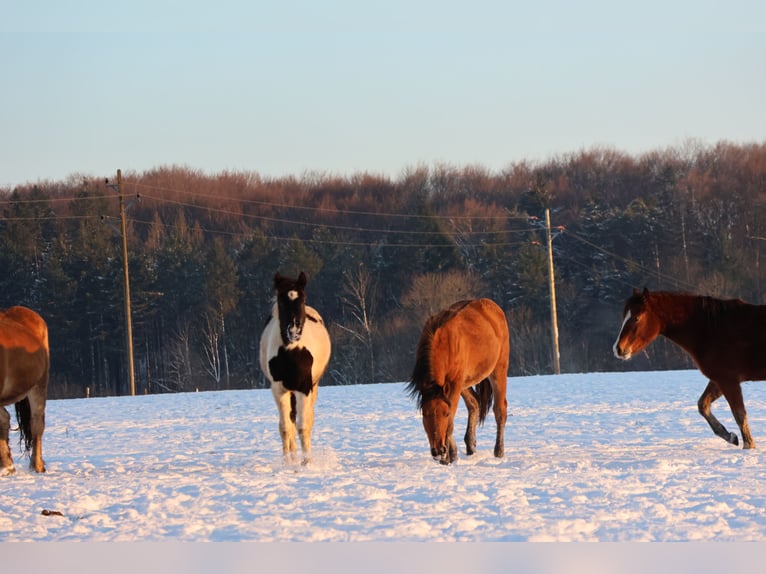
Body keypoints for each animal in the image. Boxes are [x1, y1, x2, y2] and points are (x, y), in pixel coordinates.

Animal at [259, 272, 331, 464]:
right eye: (281, 300)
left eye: (302, 299)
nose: (293, 331)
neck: (292, 352)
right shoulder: (279, 389)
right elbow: (286, 427)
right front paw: (289, 462)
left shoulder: (304, 388)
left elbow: (303, 426)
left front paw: (307, 462)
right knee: (289, 421)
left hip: (313, 387)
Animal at [406, 298, 510, 465]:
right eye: (425, 414)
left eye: (446, 414)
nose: (438, 450)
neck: (444, 343)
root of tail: (493, 307)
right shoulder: (453, 385)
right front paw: (452, 453)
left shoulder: (454, 384)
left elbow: (450, 423)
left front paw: (447, 457)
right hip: (464, 383)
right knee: (474, 404)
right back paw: (470, 446)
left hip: (498, 370)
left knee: (500, 410)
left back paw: (498, 451)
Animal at [613, 288, 766, 450]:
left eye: (636, 318)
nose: (618, 349)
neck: (713, 330)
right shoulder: (719, 380)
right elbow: (703, 405)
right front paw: (730, 436)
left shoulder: (729, 381)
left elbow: (739, 414)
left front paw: (748, 447)